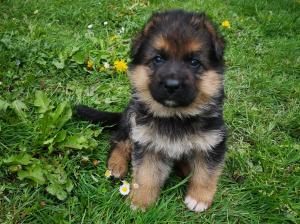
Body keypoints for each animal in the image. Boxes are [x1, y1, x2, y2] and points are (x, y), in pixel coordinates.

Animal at [76, 9, 226, 213]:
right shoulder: (147, 144)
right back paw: (116, 165)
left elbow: (206, 174)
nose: (172, 85)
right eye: (158, 59)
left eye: (194, 62)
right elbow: (146, 175)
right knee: (119, 140)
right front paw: (140, 202)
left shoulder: (213, 142)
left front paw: (198, 198)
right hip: (131, 118)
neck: (175, 117)